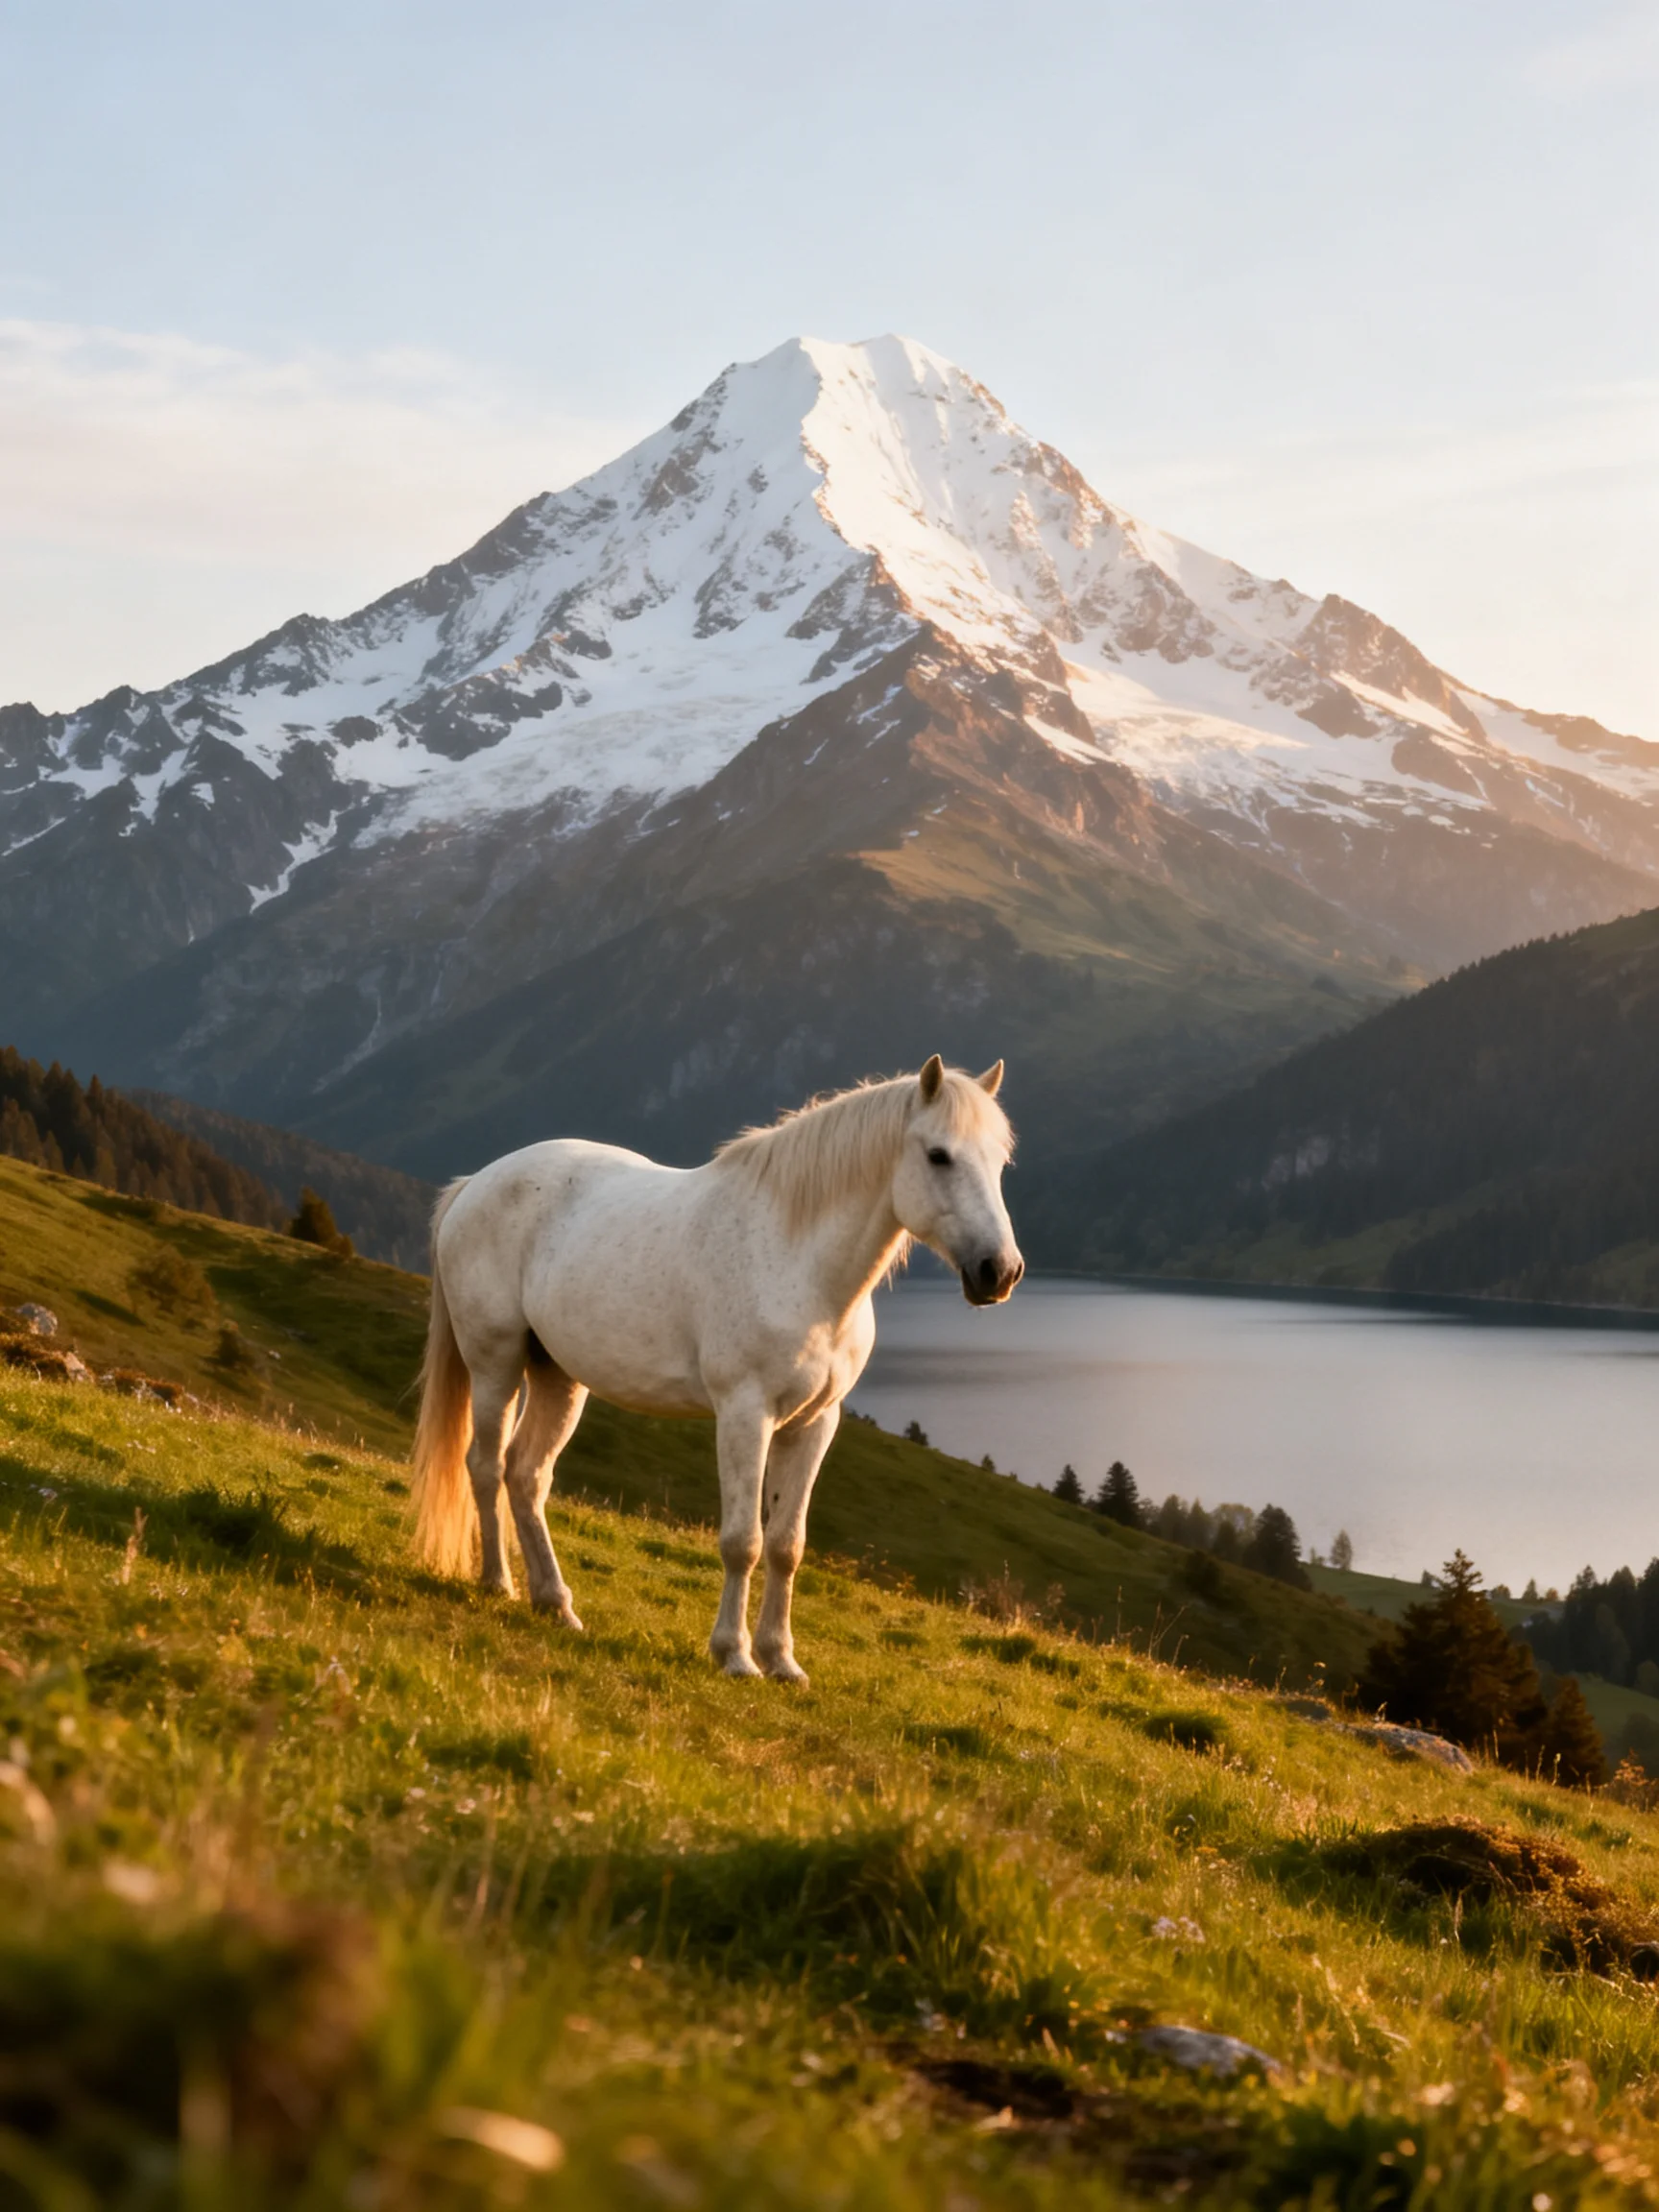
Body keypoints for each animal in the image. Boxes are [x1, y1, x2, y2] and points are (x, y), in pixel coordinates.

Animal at [410, 1055, 1023, 1683]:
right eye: (939, 1155)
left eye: (1000, 1161)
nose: (999, 1271)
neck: (800, 1264)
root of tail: (474, 1183)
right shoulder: (744, 1415)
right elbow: (742, 1541)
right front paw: (735, 1654)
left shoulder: (814, 1423)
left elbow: (787, 1544)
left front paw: (782, 1660)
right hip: (495, 1362)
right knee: (485, 1466)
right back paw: (498, 1584)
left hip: (558, 1376)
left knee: (527, 1475)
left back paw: (555, 1604)